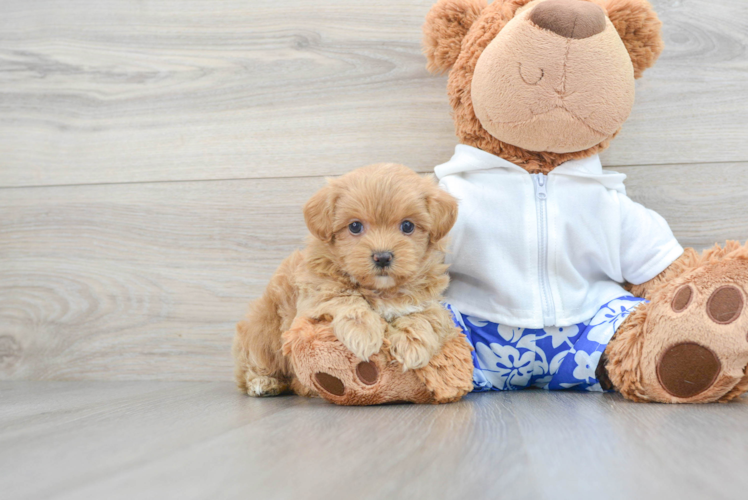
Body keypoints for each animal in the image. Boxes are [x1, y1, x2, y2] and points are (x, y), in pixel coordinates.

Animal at [232, 166, 462, 396]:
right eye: (355, 226)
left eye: (407, 226)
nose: (382, 257)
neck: (380, 290)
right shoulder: (315, 295)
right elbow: (345, 298)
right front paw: (363, 332)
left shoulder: (429, 300)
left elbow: (426, 316)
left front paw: (413, 344)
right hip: (263, 331)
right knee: (254, 363)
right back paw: (263, 382)